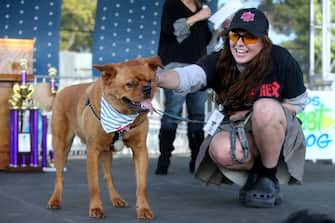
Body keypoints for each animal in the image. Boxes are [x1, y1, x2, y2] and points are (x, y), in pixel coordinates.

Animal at [34, 56, 163, 219]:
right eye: (129, 84)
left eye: (150, 80)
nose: (147, 88)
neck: (121, 115)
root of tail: (58, 93)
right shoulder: (92, 151)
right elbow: (94, 184)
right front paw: (96, 208)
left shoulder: (140, 150)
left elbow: (142, 185)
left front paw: (144, 208)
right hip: (61, 146)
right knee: (60, 176)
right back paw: (55, 200)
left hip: (106, 152)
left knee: (108, 176)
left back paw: (116, 198)